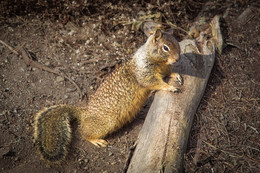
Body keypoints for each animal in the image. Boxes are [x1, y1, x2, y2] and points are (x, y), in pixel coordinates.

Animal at [33, 28, 183, 162]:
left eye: (177, 43)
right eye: (165, 48)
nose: (177, 59)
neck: (159, 62)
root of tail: (85, 113)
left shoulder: (163, 71)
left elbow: (167, 75)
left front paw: (175, 75)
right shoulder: (144, 72)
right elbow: (153, 82)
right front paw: (169, 87)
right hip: (105, 124)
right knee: (84, 133)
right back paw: (96, 140)